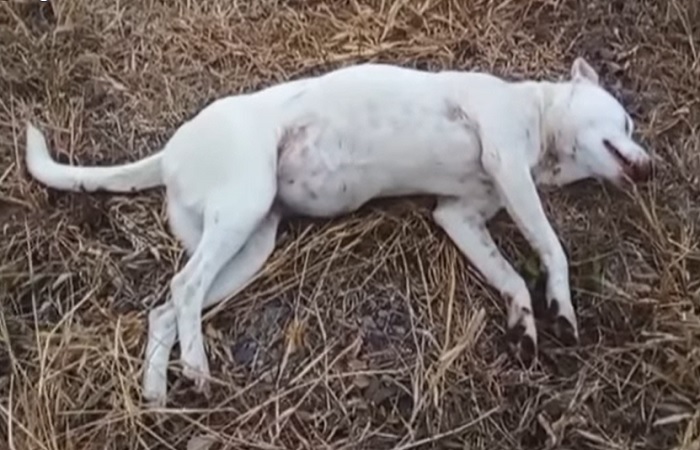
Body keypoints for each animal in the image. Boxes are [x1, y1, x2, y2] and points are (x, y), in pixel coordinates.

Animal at [24, 57, 652, 406]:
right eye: (625, 122)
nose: (650, 167)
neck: (539, 117)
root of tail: (170, 152)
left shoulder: (460, 216)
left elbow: (511, 278)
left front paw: (525, 322)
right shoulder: (506, 162)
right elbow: (552, 247)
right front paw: (562, 306)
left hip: (251, 245)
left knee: (167, 307)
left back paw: (157, 390)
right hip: (244, 206)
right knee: (183, 289)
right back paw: (197, 370)